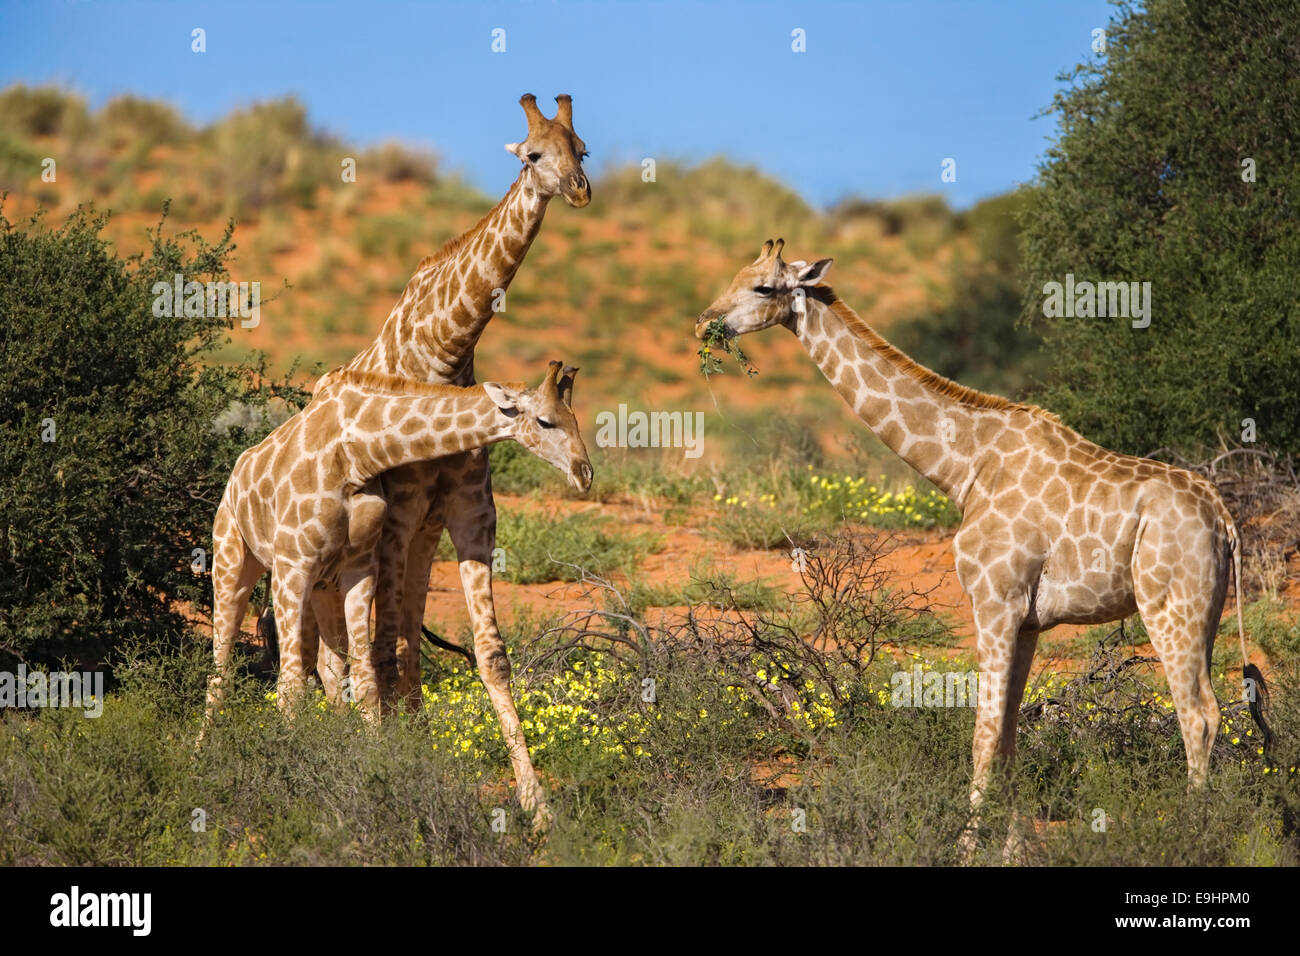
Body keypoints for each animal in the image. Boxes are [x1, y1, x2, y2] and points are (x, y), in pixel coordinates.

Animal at [200, 361, 591, 743]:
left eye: (575, 419)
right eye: (545, 421)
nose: (584, 473)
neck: (354, 453)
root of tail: (236, 473)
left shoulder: (359, 564)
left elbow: (363, 677)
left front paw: (373, 753)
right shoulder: (293, 564)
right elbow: (292, 683)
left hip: (323, 584)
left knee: (329, 665)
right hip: (232, 559)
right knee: (221, 668)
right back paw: (202, 750)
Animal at [305, 93, 591, 821]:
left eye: (582, 147)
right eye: (533, 154)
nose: (580, 190)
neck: (444, 349)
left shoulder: (465, 515)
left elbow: (487, 652)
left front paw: (536, 803)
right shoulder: (397, 516)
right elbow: (378, 646)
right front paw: (378, 768)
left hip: (421, 539)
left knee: (398, 640)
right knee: (343, 653)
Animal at [696, 239, 1272, 855]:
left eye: (762, 287)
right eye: (735, 275)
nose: (705, 322)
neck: (964, 468)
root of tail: (1224, 520)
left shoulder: (994, 601)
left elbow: (982, 731)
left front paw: (966, 847)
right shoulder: (1027, 619)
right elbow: (1010, 733)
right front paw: (1017, 848)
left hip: (1167, 605)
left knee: (1199, 715)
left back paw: (1191, 835)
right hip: (1206, 610)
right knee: (1213, 709)